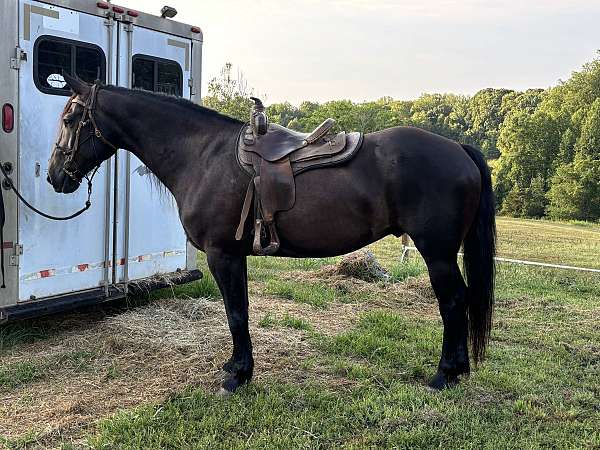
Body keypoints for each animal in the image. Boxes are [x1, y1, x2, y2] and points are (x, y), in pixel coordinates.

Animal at [48, 77, 496, 394]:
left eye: (70, 120)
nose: (54, 176)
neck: (203, 155)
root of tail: (459, 148)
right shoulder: (236, 255)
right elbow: (240, 311)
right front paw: (237, 367)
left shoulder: (223, 254)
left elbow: (235, 313)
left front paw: (237, 377)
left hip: (437, 253)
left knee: (454, 302)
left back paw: (444, 375)